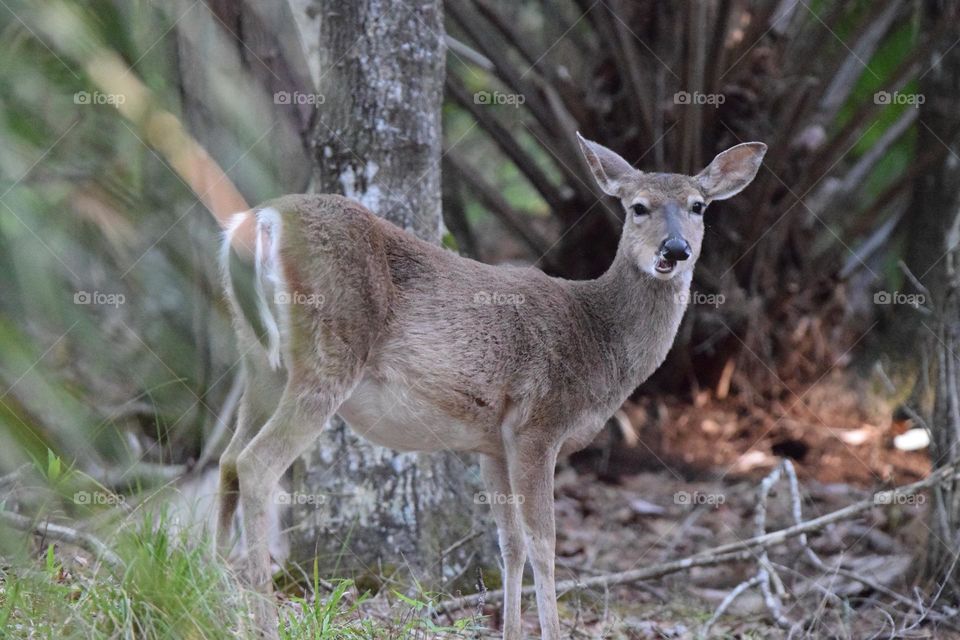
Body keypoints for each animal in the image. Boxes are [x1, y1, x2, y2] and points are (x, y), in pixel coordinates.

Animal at [216, 132, 764, 636]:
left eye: (698, 206)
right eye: (638, 207)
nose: (676, 249)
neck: (598, 338)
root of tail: (258, 222)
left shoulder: (492, 443)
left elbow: (510, 544)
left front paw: (511, 630)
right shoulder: (537, 423)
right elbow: (544, 542)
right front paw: (551, 631)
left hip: (260, 362)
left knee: (227, 459)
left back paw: (214, 590)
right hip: (329, 352)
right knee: (256, 463)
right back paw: (261, 618)